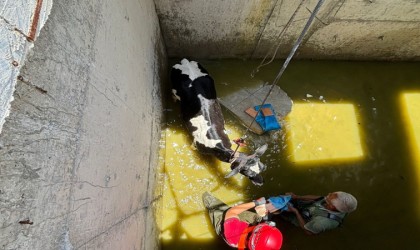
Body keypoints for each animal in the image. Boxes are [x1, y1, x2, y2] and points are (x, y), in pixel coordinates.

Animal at [169, 58, 268, 186]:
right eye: (249, 174)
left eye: (262, 167)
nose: (261, 183)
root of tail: (185, 61)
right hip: (174, 88)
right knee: (174, 94)